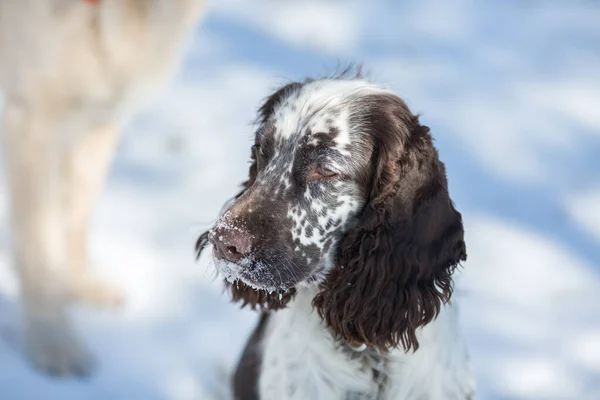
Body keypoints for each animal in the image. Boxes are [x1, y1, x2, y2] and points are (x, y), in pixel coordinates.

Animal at [0, 0, 206, 376]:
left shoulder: (98, 119)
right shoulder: (34, 120)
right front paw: (52, 339)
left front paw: (78, 284)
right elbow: (37, 241)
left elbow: (76, 216)